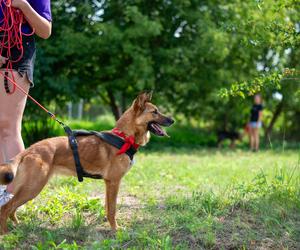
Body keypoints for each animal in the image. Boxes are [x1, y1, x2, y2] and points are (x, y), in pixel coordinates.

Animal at [0, 92, 175, 234]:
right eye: (155, 112)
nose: (172, 120)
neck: (124, 137)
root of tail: (29, 150)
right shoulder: (114, 182)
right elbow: (112, 209)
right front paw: (115, 229)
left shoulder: (108, 183)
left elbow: (108, 208)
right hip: (33, 186)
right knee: (6, 208)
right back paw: (6, 234)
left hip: (28, 186)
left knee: (11, 208)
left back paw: (17, 227)